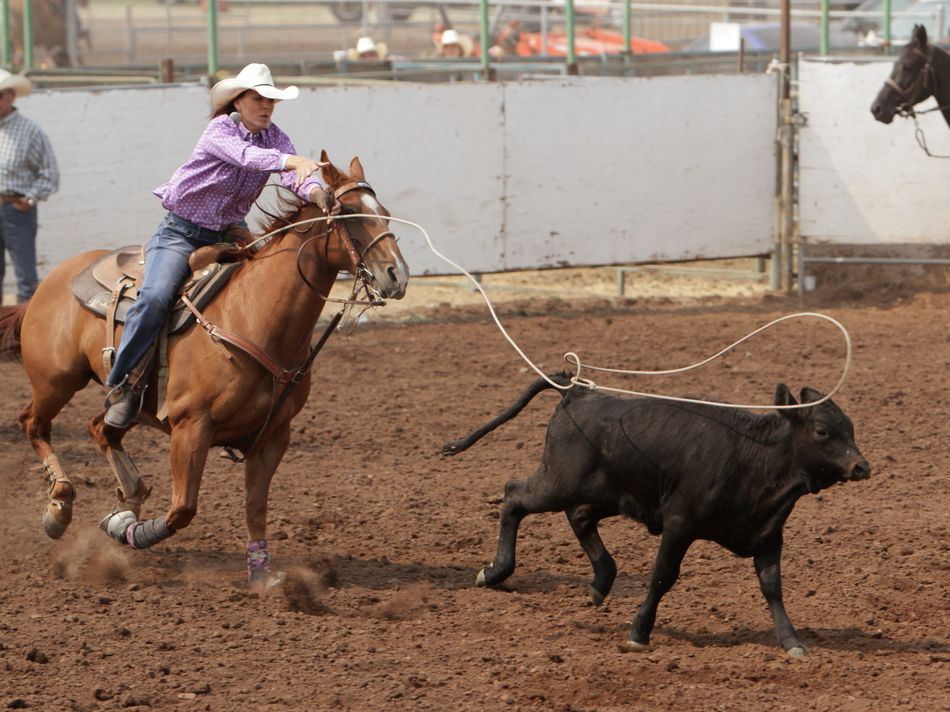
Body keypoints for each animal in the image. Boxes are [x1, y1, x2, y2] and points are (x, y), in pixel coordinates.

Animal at [442, 373, 871, 656]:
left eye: (850, 427)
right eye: (821, 431)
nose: (861, 467)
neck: (754, 458)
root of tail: (576, 393)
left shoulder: (768, 535)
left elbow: (772, 587)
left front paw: (792, 641)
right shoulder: (680, 525)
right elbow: (663, 577)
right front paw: (638, 632)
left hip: (603, 493)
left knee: (579, 517)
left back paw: (600, 582)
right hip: (557, 481)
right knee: (514, 497)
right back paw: (496, 571)